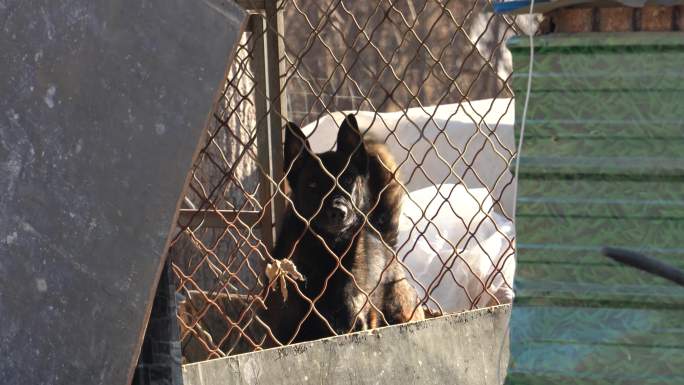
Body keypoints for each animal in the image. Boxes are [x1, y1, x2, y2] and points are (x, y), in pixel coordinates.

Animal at [260, 114, 422, 344]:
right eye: (312, 184)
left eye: (347, 179)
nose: (339, 211)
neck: (326, 255)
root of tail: (384, 242)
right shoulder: (283, 334)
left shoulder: (351, 327)